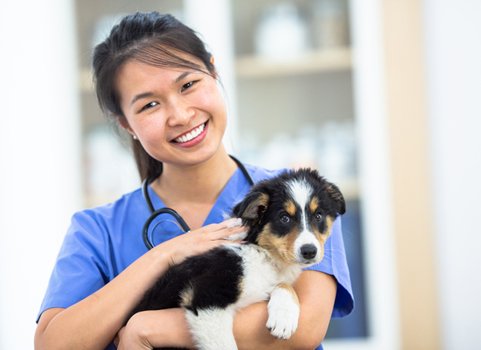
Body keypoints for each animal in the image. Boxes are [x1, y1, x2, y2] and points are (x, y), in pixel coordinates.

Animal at [131, 168, 344, 348]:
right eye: (284, 218)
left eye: (318, 216)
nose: (309, 251)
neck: (262, 254)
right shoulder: (207, 298)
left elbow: (284, 285)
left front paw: (284, 318)